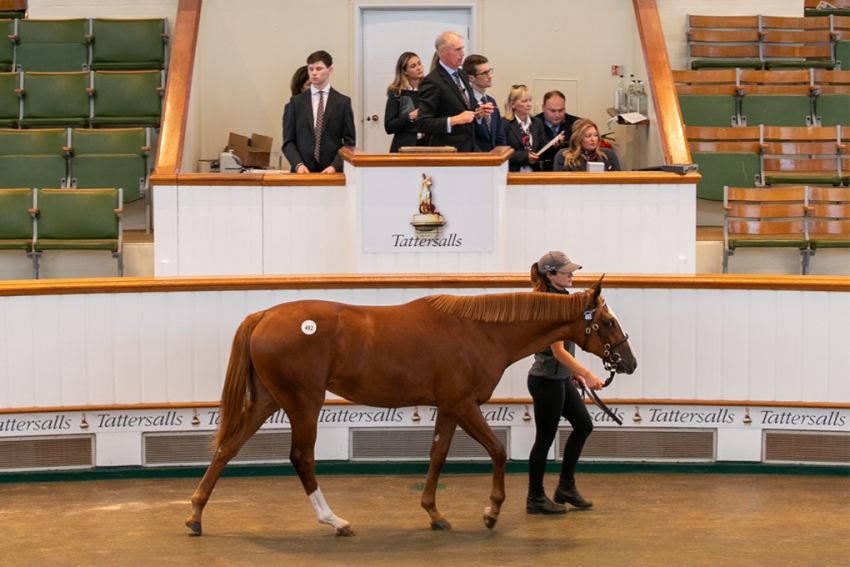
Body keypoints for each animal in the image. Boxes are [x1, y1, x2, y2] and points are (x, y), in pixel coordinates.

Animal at [187, 280, 636, 536]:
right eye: (608, 322)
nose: (628, 363)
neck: (480, 331)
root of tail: (264, 315)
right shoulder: (464, 404)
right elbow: (498, 451)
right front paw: (491, 512)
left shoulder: (449, 408)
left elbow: (437, 455)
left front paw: (434, 514)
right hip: (303, 403)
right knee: (301, 458)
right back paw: (335, 521)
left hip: (266, 401)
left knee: (227, 448)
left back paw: (195, 515)